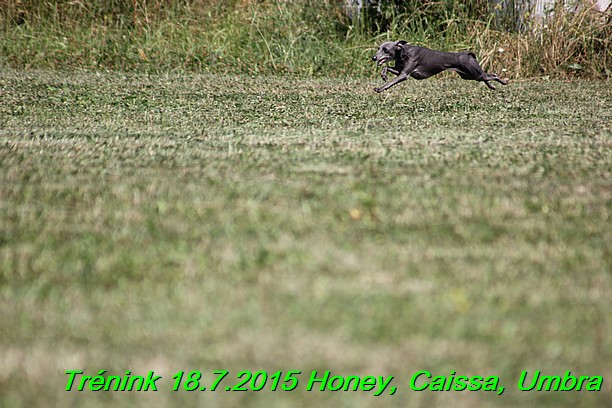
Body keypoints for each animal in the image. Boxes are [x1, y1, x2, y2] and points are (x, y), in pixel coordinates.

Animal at [372, 40, 506, 93]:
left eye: (385, 49)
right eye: (378, 48)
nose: (374, 58)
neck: (403, 51)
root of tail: (467, 54)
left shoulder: (404, 74)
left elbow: (391, 82)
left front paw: (380, 88)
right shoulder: (399, 70)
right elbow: (386, 67)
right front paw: (383, 75)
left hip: (473, 72)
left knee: (493, 75)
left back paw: (504, 81)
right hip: (468, 75)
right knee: (486, 76)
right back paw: (492, 86)